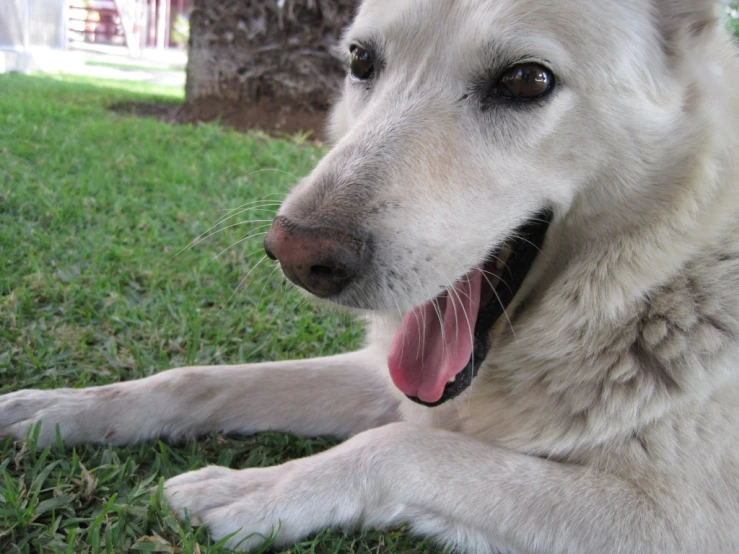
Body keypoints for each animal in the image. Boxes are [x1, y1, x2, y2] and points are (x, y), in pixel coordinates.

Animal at [1, 0, 739, 548]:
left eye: (527, 80)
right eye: (361, 61)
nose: (295, 255)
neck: (645, 293)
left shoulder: (672, 520)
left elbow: (399, 448)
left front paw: (256, 488)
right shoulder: (393, 382)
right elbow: (199, 380)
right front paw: (62, 409)